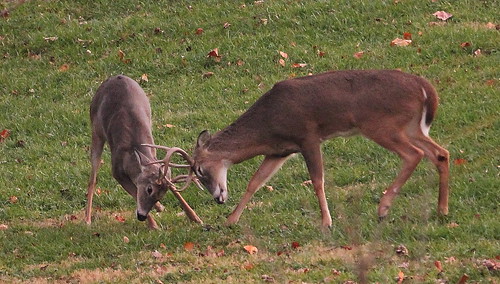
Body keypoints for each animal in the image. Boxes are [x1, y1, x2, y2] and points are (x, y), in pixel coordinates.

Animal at [86, 75, 168, 229]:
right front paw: (154, 225)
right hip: (96, 131)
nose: (141, 216)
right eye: (149, 189)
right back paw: (87, 219)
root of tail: (114, 77)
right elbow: (135, 193)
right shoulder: (117, 171)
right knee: (92, 178)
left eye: (161, 194)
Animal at [191, 70, 450, 230]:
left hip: (382, 126)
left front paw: (326, 222)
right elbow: (255, 182)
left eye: (199, 169)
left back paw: (383, 208)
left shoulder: (308, 137)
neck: (266, 126)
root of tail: (425, 89)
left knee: (414, 154)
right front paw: (231, 220)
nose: (218, 199)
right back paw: (442, 210)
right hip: (411, 127)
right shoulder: (279, 151)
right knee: (440, 153)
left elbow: (317, 180)